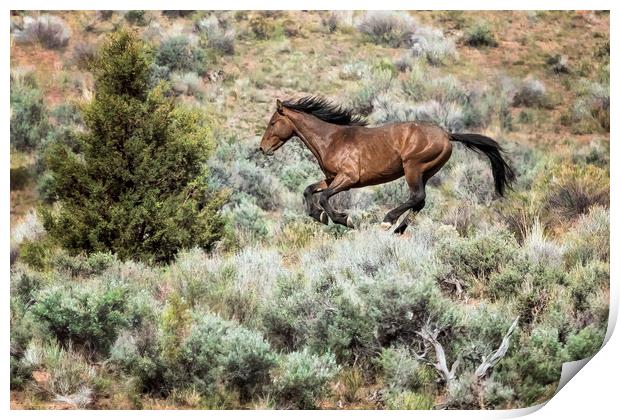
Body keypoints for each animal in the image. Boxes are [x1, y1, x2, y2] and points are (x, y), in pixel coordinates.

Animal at [256, 95, 512, 233]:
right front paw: (318, 216)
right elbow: (309, 190)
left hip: (413, 168)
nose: (262, 148)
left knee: (417, 197)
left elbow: (324, 197)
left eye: (272, 123)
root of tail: (447, 134)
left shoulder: (348, 178)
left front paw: (343, 219)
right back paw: (398, 229)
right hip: (426, 172)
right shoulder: (331, 178)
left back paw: (388, 221)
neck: (331, 139)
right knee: (420, 201)